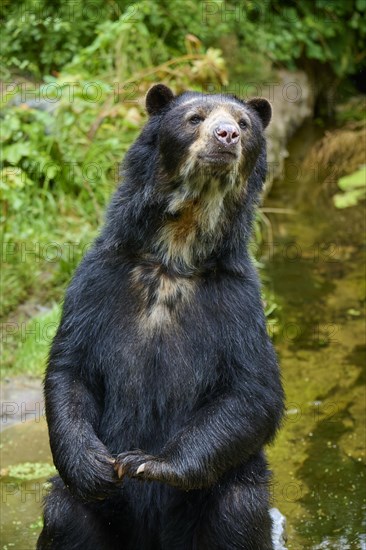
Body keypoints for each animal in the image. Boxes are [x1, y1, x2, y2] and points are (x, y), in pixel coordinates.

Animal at [38, 84, 284, 548]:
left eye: (244, 124)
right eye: (195, 118)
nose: (226, 136)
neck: (175, 252)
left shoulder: (238, 301)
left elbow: (252, 391)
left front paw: (144, 462)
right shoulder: (99, 280)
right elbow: (71, 368)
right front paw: (97, 466)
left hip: (228, 491)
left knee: (238, 513)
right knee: (65, 516)